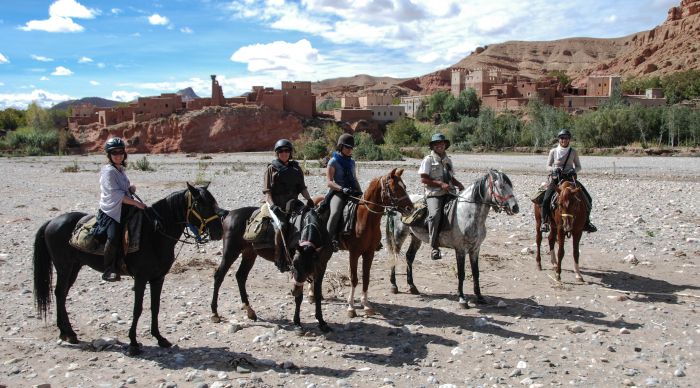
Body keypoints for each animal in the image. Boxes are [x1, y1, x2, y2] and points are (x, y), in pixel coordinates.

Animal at [32, 183, 223, 356]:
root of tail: (52, 222)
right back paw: (68, 333)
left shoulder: (158, 278)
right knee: (59, 293)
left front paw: (160, 338)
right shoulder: (140, 278)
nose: (219, 232)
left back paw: (67, 333)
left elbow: (155, 307)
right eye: (200, 204)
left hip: (74, 267)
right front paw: (133, 343)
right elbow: (137, 309)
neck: (154, 234)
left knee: (61, 294)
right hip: (64, 267)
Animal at [209, 203, 332, 334]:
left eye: (310, 267)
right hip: (231, 252)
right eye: (294, 264)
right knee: (219, 276)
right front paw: (297, 323)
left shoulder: (321, 267)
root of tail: (229, 213)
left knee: (240, 276)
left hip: (249, 253)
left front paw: (322, 322)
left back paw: (249, 311)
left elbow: (317, 294)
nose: (293, 291)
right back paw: (214, 313)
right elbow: (299, 297)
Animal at [318, 168, 416, 316]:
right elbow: (354, 278)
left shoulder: (369, 253)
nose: (410, 209)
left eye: (404, 186)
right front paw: (351, 307)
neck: (365, 219)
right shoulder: (354, 253)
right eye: (395, 188)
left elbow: (366, 277)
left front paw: (366, 304)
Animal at [382, 170, 520, 310]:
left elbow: (476, 273)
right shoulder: (460, 250)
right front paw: (462, 299)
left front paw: (480, 297)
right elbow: (461, 273)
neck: (468, 213)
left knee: (409, 257)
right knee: (394, 256)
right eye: (501, 186)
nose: (515, 207)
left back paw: (412, 286)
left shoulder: (475, 249)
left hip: (415, 238)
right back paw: (394, 286)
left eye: (511, 186)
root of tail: (395, 206)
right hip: (399, 235)